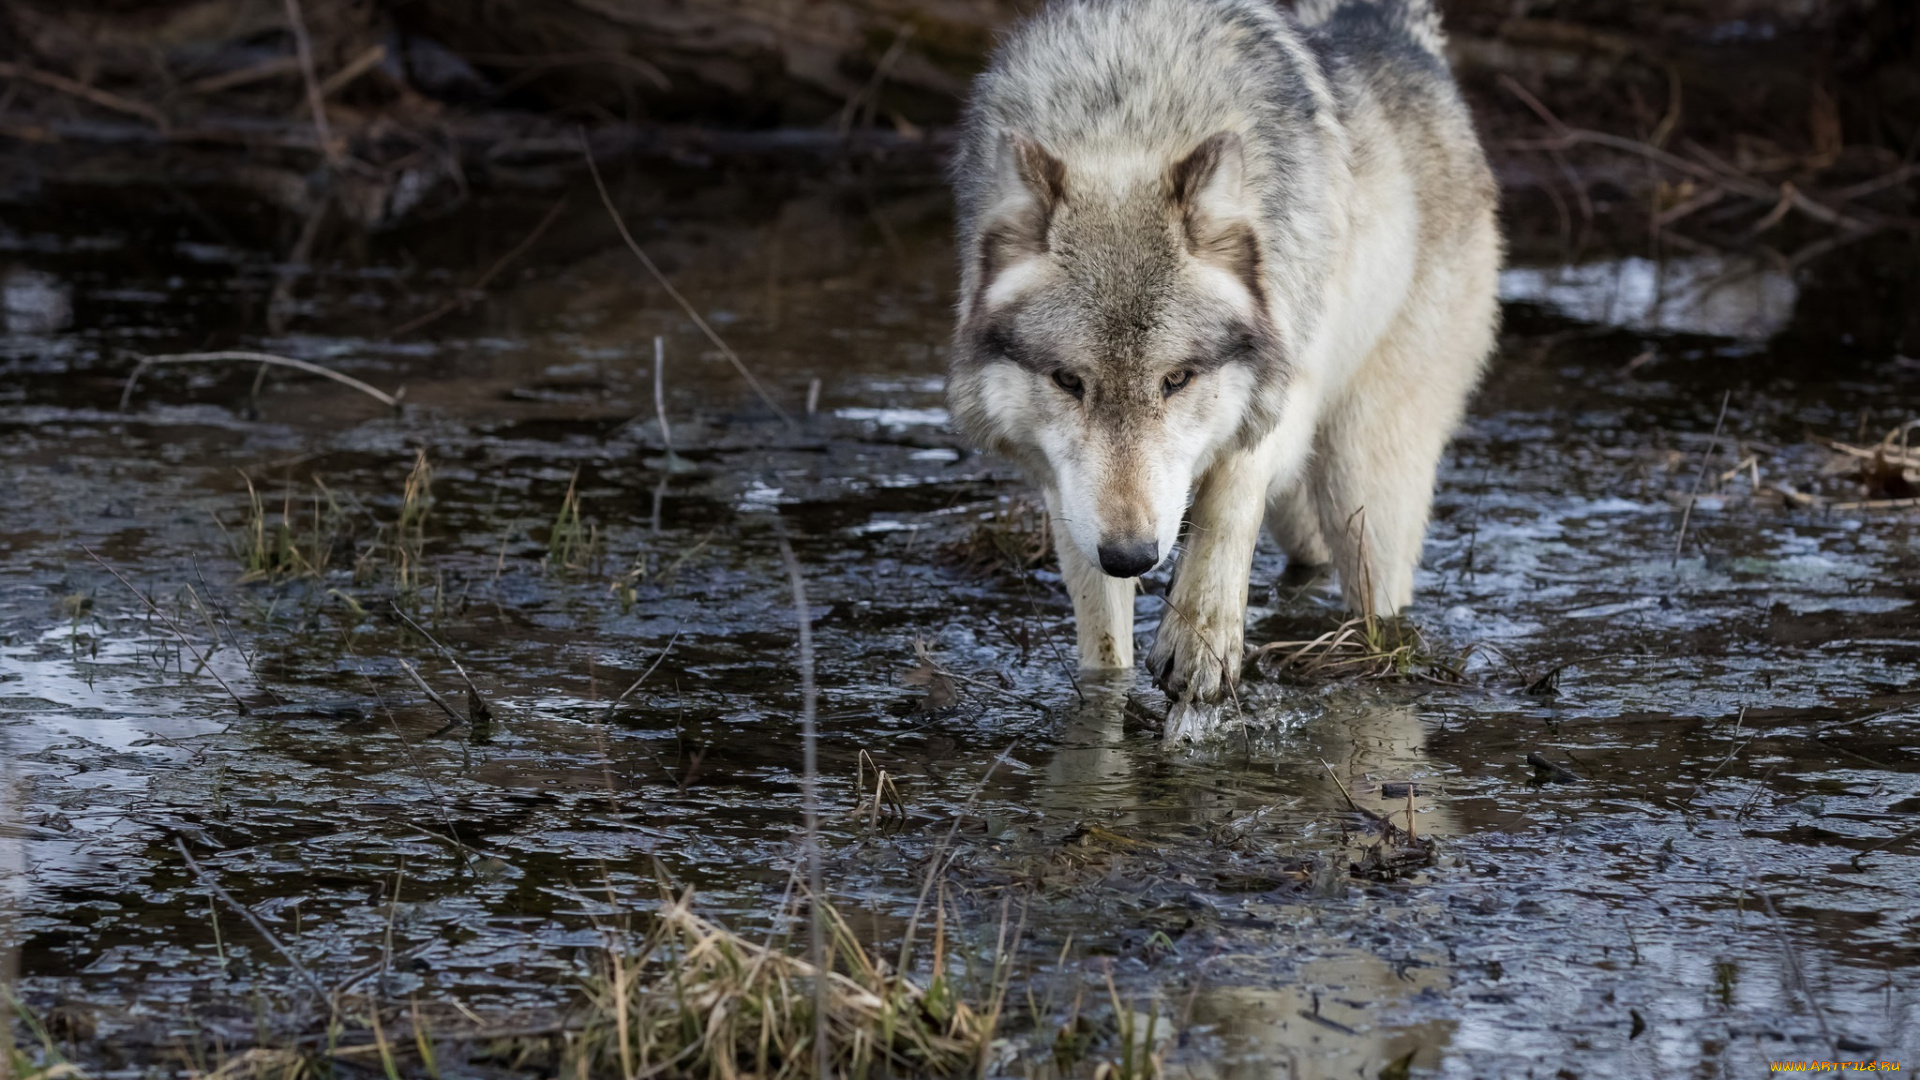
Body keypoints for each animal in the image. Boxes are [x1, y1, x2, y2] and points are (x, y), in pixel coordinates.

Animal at [944, 0, 1497, 714]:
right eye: (1068, 381)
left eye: (1177, 379)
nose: (1131, 556)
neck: (1127, 120)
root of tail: (1391, 29)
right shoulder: (1069, 494)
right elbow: (1104, 642)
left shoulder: (1281, 393)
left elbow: (1229, 497)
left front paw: (1201, 639)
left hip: (1365, 481)